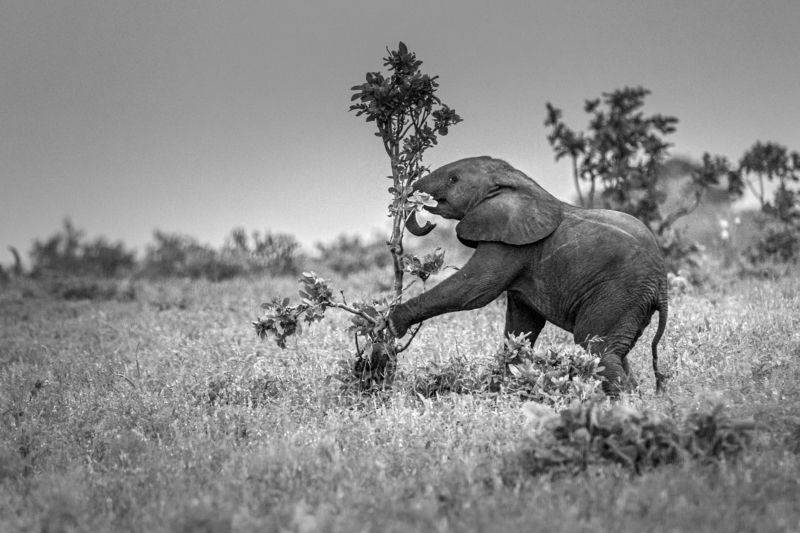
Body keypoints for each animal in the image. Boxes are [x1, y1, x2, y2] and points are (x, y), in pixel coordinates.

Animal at [389, 156, 668, 395]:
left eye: (453, 179)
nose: (428, 222)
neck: (511, 180)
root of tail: (661, 282)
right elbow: (522, 324)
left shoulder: (509, 243)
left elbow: (475, 290)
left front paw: (391, 321)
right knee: (616, 356)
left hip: (619, 294)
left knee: (597, 350)